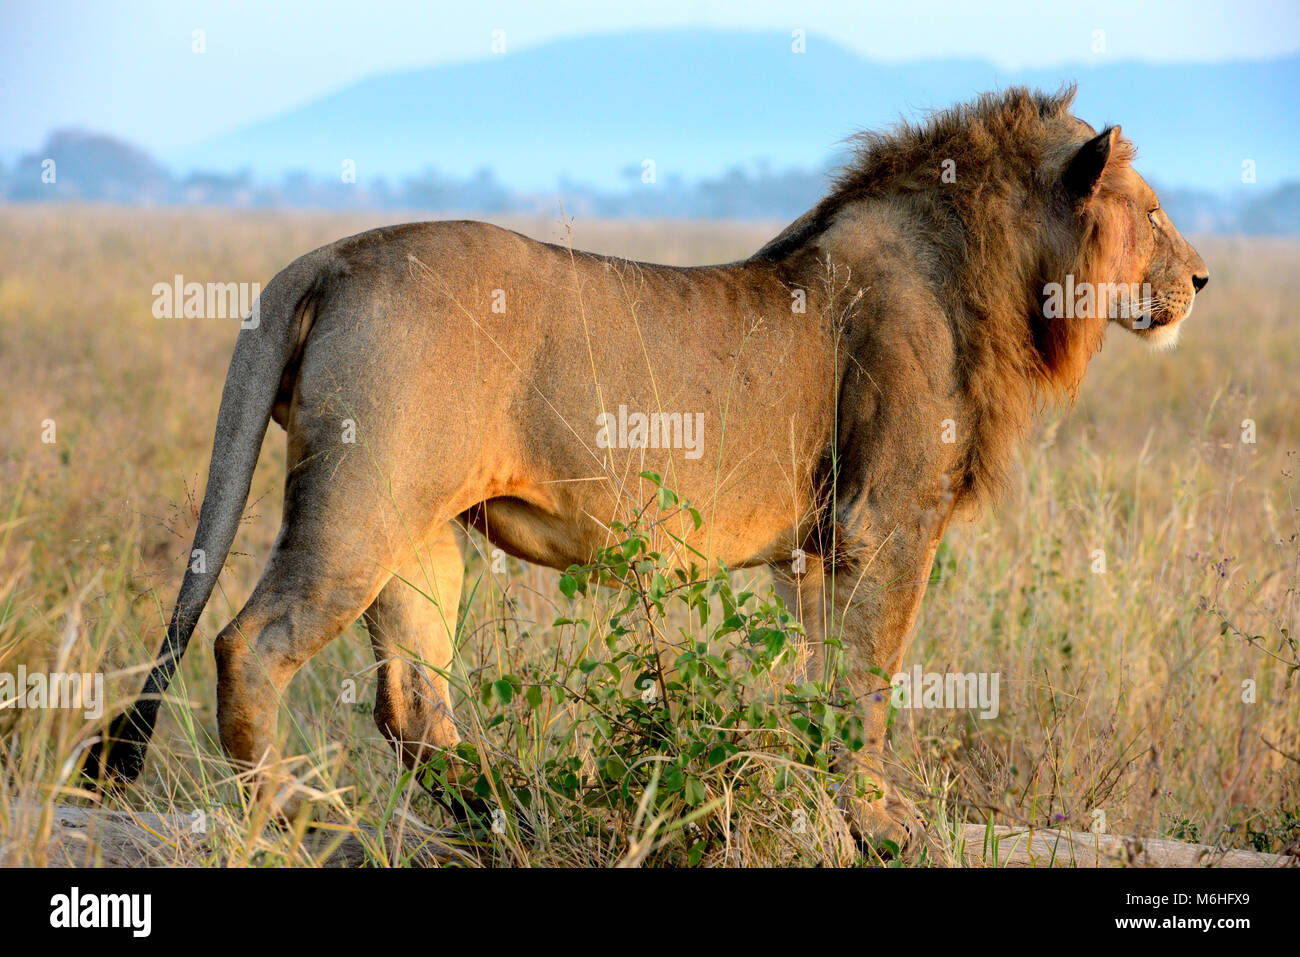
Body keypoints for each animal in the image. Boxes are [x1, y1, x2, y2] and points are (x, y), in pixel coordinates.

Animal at [91, 87, 1206, 852]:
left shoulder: (821, 548)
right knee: (251, 645)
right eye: (1152, 212)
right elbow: (867, 686)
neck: (995, 276)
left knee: (412, 700)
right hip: (360, 507)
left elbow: (825, 685)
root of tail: (328, 255)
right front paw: (878, 825)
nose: (1199, 277)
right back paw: (290, 822)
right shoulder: (883, 523)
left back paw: (508, 817)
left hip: (420, 530)